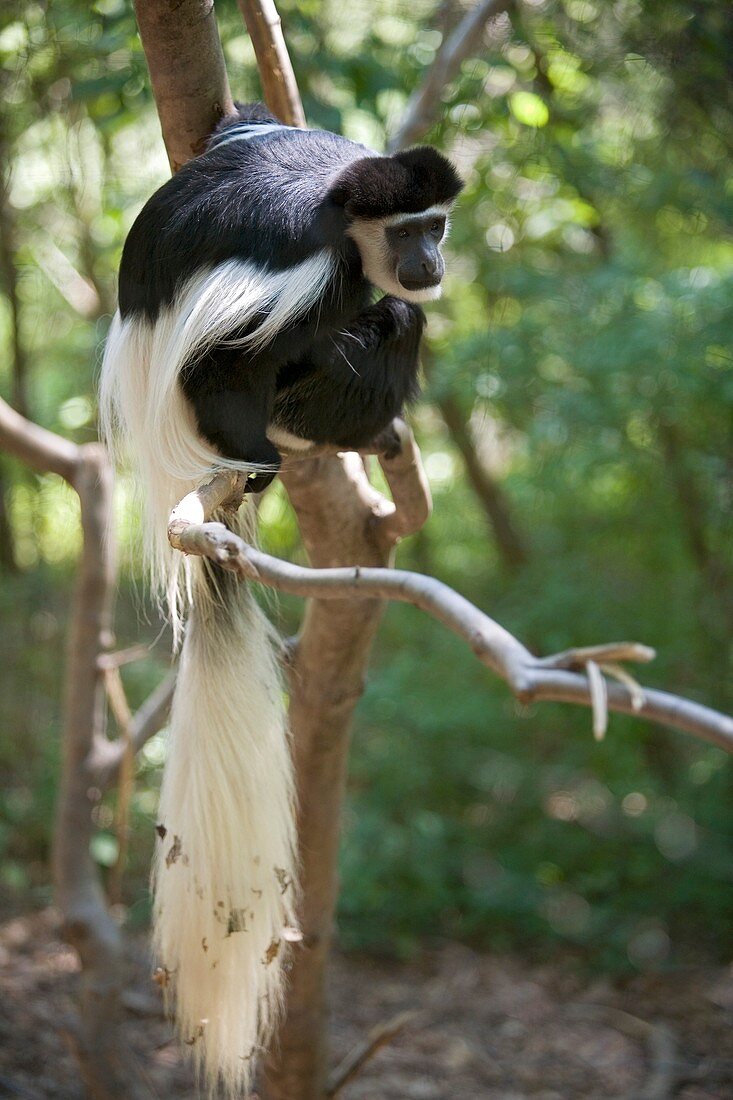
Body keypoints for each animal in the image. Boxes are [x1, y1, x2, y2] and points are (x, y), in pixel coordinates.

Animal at [100, 101, 460, 1091]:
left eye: (436, 224)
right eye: (408, 234)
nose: (430, 264)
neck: (345, 211)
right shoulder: (310, 276)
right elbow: (221, 360)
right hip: (292, 376)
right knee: (362, 333)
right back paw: (324, 428)